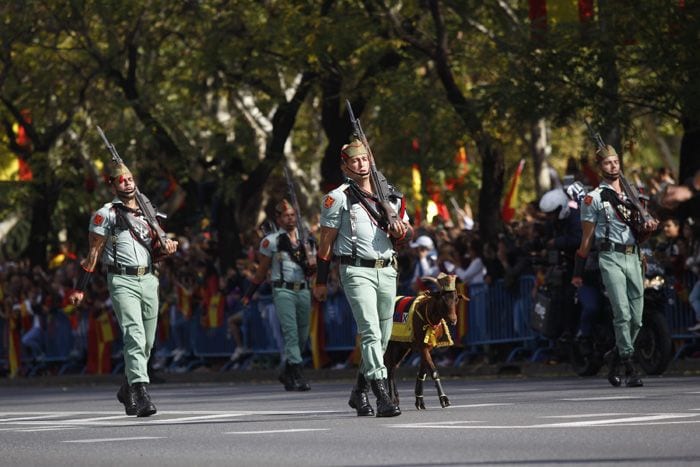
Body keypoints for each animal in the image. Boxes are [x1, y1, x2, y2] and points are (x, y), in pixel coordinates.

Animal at [386, 274, 468, 410]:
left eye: (456, 299)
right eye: (442, 299)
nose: (453, 320)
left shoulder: (428, 347)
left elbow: (423, 371)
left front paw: (419, 400)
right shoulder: (422, 345)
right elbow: (433, 371)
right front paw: (444, 399)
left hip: (402, 347)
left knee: (392, 367)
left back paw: (396, 399)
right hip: (390, 344)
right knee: (387, 367)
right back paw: (392, 400)